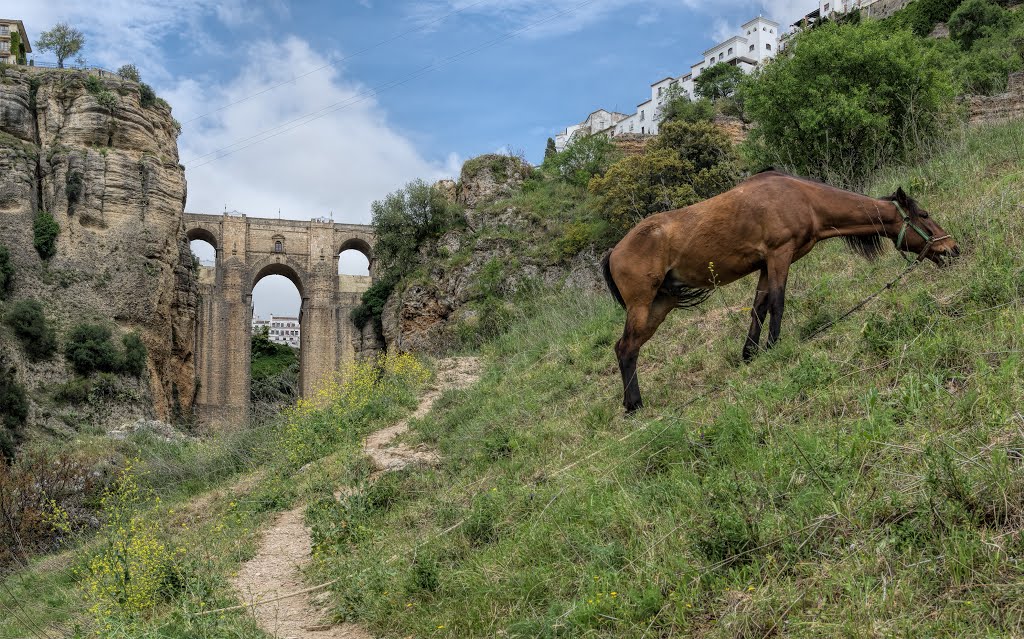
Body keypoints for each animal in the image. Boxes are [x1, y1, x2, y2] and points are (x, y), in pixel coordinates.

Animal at [598, 169, 958, 411]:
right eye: (924, 214)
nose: (952, 248)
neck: (803, 198)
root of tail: (613, 251)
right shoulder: (779, 255)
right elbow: (778, 302)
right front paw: (774, 347)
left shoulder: (765, 265)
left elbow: (759, 307)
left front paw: (750, 353)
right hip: (643, 305)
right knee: (626, 348)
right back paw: (634, 404)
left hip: (661, 304)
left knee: (629, 348)